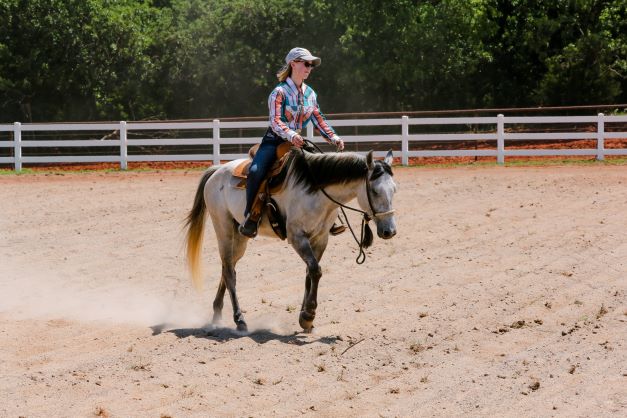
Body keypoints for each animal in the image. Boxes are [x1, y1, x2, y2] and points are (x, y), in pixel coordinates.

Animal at [184, 149, 398, 332]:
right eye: (375, 191)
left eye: (394, 190)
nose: (390, 231)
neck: (316, 191)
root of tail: (216, 171)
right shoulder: (297, 237)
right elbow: (315, 270)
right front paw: (309, 315)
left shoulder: (321, 238)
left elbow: (310, 273)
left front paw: (305, 319)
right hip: (224, 228)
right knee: (229, 272)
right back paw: (239, 320)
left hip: (240, 236)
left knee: (227, 267)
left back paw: (217, 314)